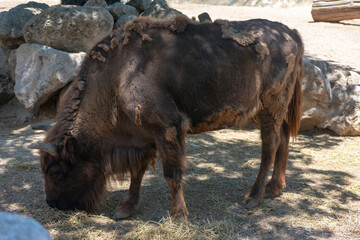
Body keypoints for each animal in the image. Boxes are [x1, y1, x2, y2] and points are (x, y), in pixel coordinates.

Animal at [28, 15, 304, 220]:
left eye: (55, 172)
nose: (51, 203)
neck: (117, 77)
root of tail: (290, 32)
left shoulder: (167, 129)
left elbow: (171, 174)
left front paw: (179, 215)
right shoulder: (143, 136)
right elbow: (137, 172)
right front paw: (125, 209)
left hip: (270, 107)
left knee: (269, 146)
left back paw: (253, 197)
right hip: (278, 109)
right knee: (283, 139)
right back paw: (275, 189)